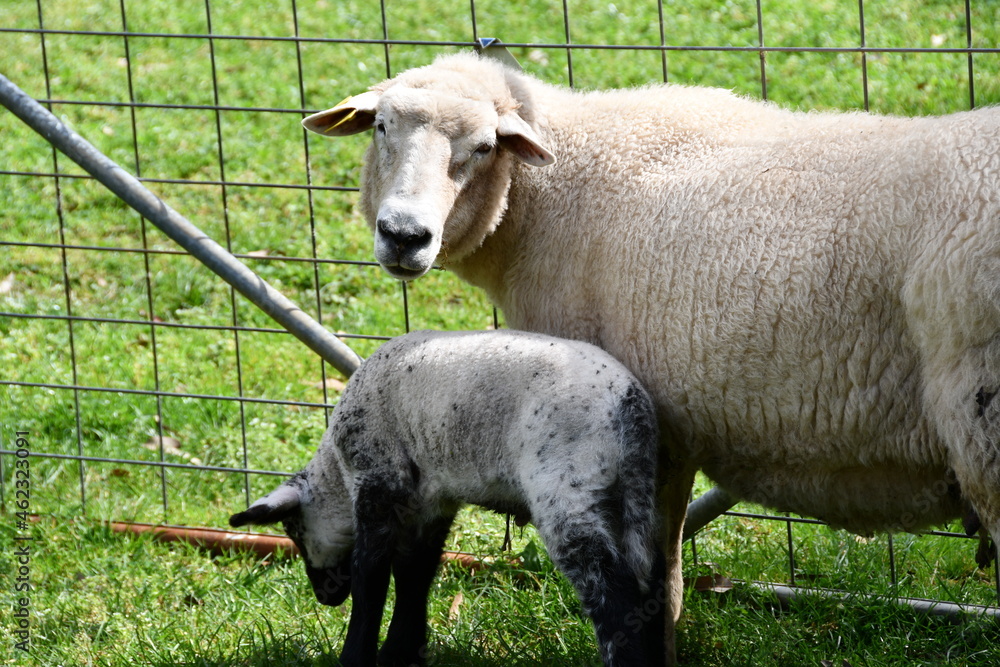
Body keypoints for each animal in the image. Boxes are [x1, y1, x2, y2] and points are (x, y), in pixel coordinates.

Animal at [230, 329, 665, 667]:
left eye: (294, 532)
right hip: (627, 496)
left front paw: (357, 657)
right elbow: (415, 572)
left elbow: (370, 576)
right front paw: (401, 653)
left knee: (612, 588)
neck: (337, 470)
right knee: (655, 579)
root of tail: (631, 408)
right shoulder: (429, 502)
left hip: (566, 484)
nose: (324, 597)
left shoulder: (378, 480)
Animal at [301, 52, 1000, 662]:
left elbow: (654, 592)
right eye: (382, 128)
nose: (404, 236)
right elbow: (666, 582)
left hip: (984, 433)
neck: (550, 196)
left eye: (483, 147)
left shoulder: (634, 435)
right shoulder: (670, 435)